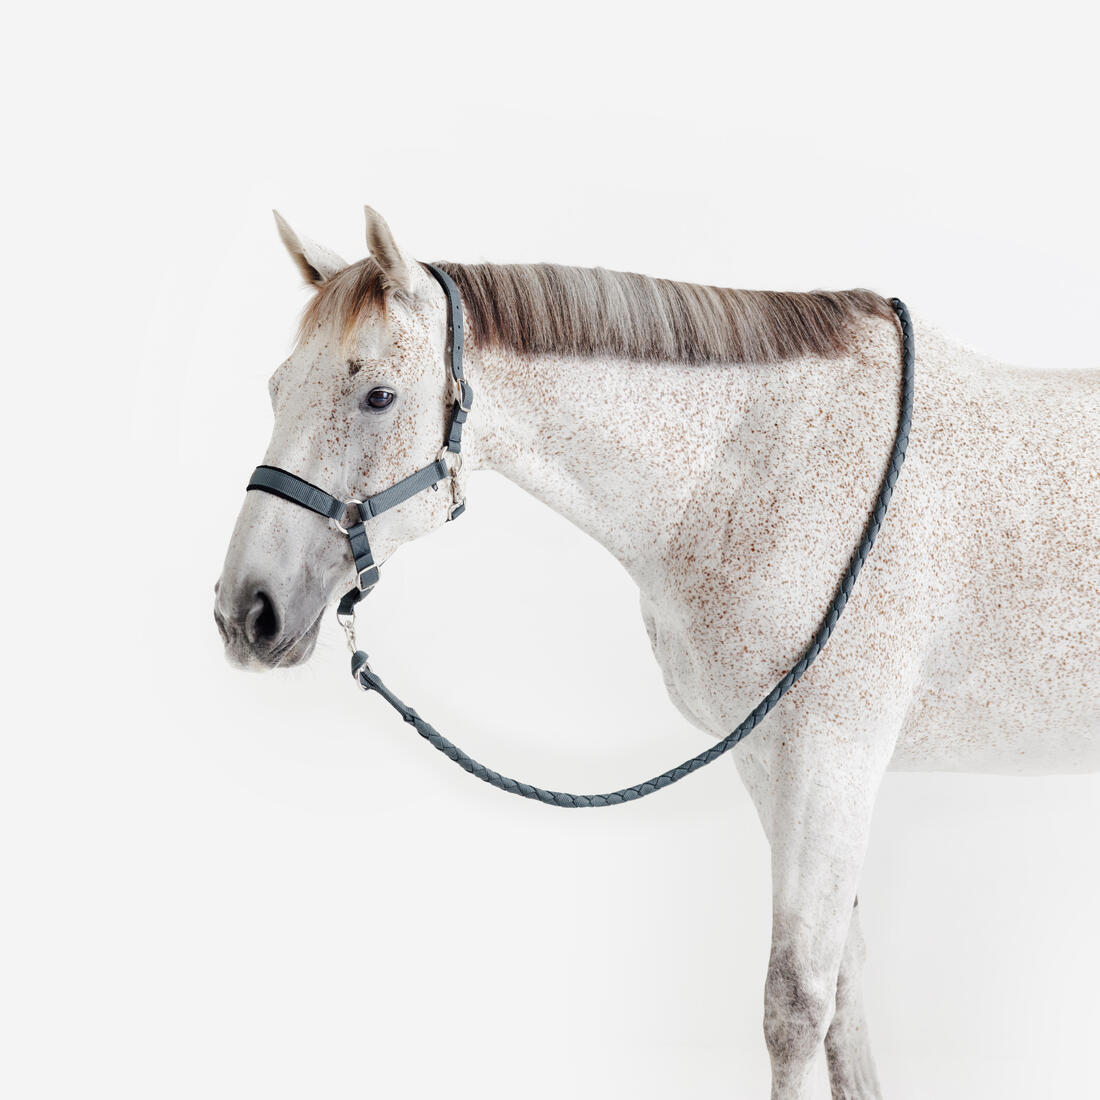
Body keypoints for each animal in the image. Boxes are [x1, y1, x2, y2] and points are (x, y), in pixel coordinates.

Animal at [215, 206, 1100, 1099]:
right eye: (275, 388)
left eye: (379, 396)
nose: (245, 610)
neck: (759, 468)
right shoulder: (772, 764)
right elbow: (844, 994)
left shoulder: (831, 763)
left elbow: (796, 1003)